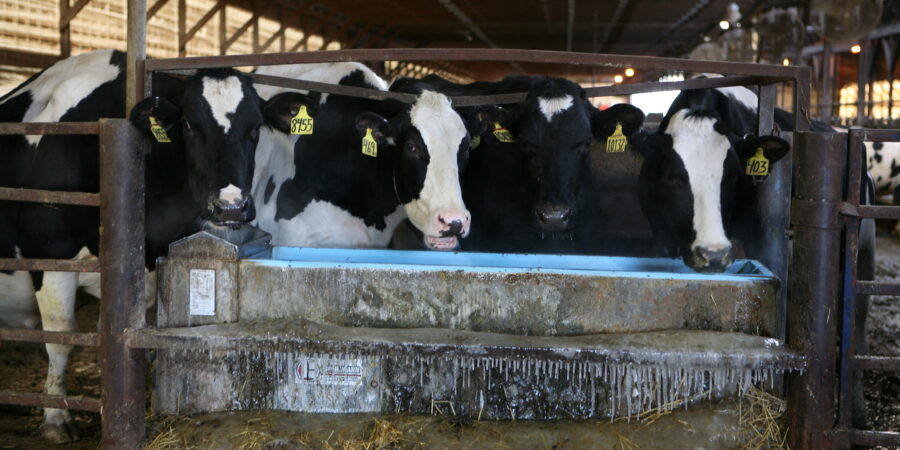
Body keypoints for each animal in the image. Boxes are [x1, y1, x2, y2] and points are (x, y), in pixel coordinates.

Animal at [0, 49, 268, 442]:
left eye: (256, 128)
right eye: (189, 125)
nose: (231, 206)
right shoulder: (50, 251)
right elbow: (61, 337)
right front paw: (55, 418)